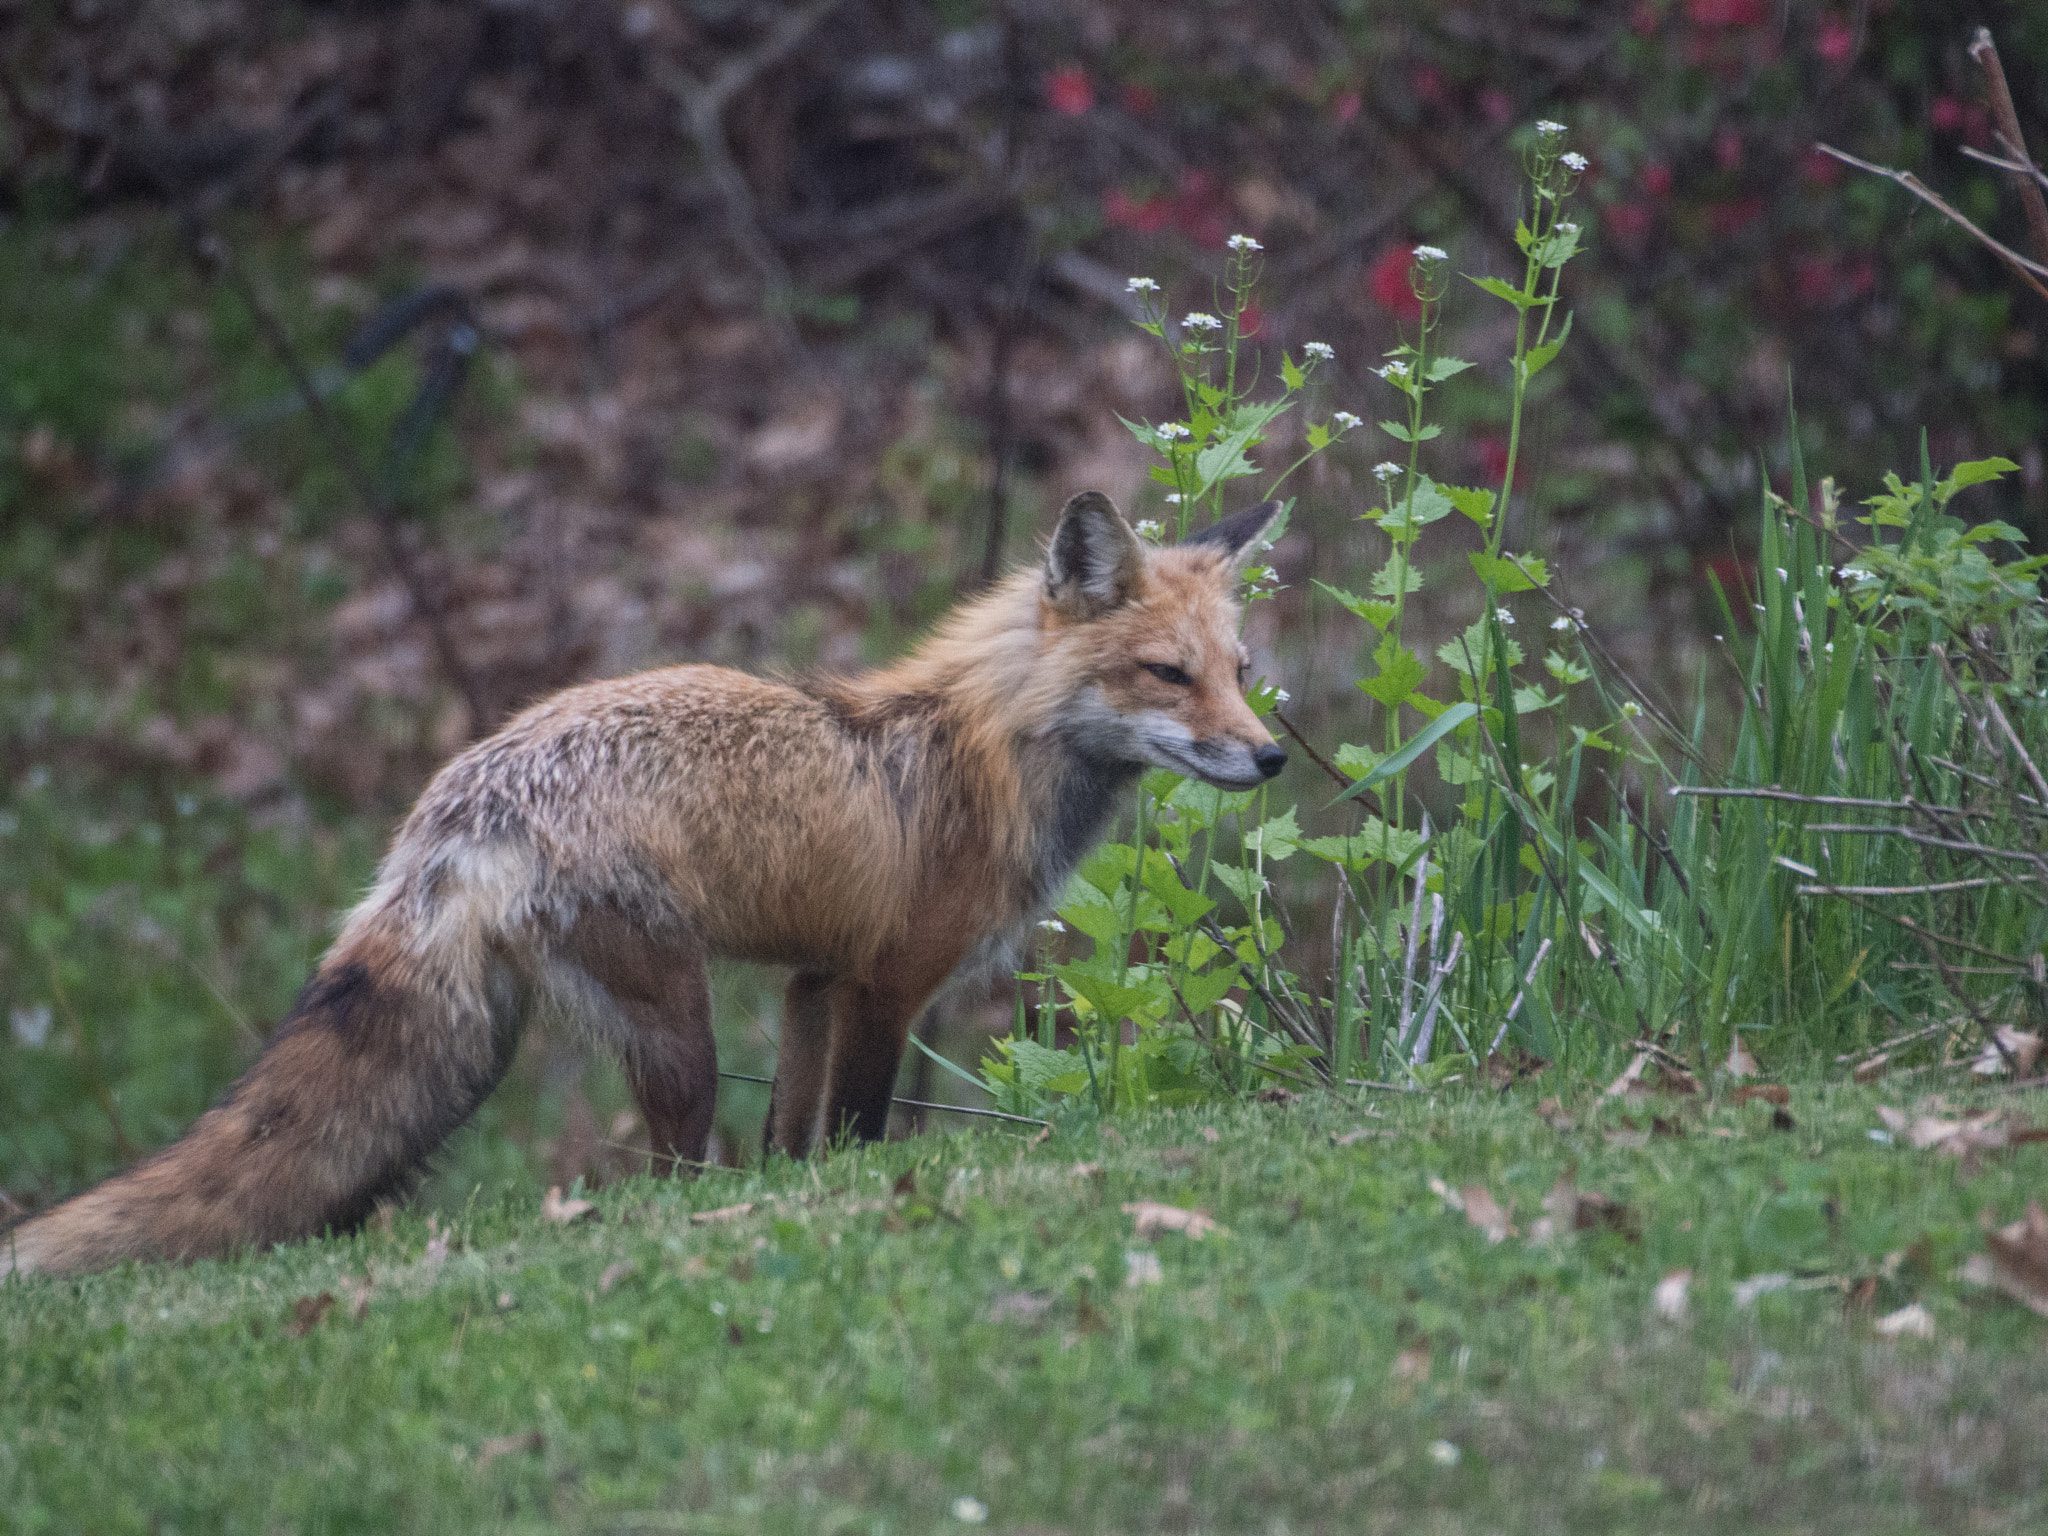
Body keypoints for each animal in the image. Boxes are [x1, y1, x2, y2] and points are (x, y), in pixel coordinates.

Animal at [0, 491, 1286, 1277]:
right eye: (1165, 675)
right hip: (677, 1025)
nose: (1271, 757)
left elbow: (791, 1144)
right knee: (667, 1174)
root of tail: (447, 812)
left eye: (1239, 669)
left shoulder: (814, 979)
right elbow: (857, 1132)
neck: (984, 750)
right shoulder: (886, 983)